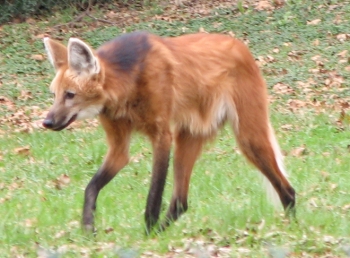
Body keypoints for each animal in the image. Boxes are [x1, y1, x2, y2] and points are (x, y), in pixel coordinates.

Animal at [43, 31, 296, 233]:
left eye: (70, 95)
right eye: (54, 95)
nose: (46, 121)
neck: (127, 87)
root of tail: (241, 45)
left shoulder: (162, 136)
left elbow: (153, 198)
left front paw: (146, 235)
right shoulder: (118, 147)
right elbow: (91, 187)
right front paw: (88, 227)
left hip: (248, 138)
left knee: (287, 189)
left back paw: (291, 227)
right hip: (188, 137)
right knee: (181, 202)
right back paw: (161, 232)